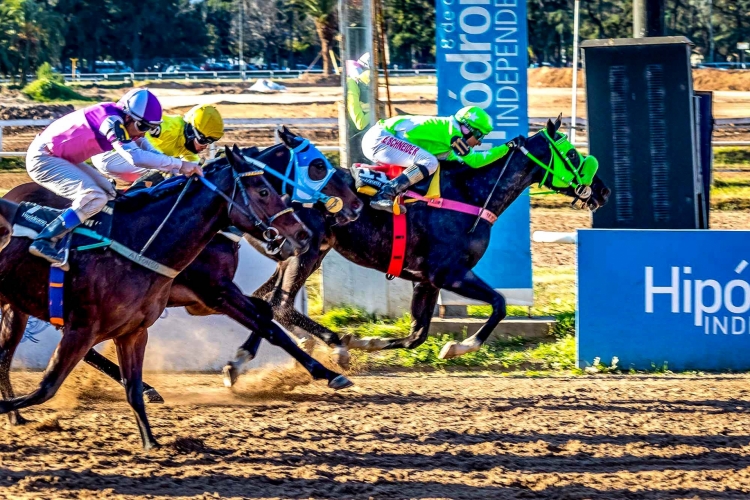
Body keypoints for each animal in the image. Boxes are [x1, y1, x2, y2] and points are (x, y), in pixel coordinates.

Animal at [226, 118, 612, 382]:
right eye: (572, 153)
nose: (603, 190)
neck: (471, 195)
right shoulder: (450, 273)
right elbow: (500, 303)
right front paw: (458, 347)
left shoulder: (426, 280)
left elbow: (416, 335)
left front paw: (370, 343)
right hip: (306, 253)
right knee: (280, 304)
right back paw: (334, 344)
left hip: (296, 254)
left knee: (264, 302)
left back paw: (244, 360)